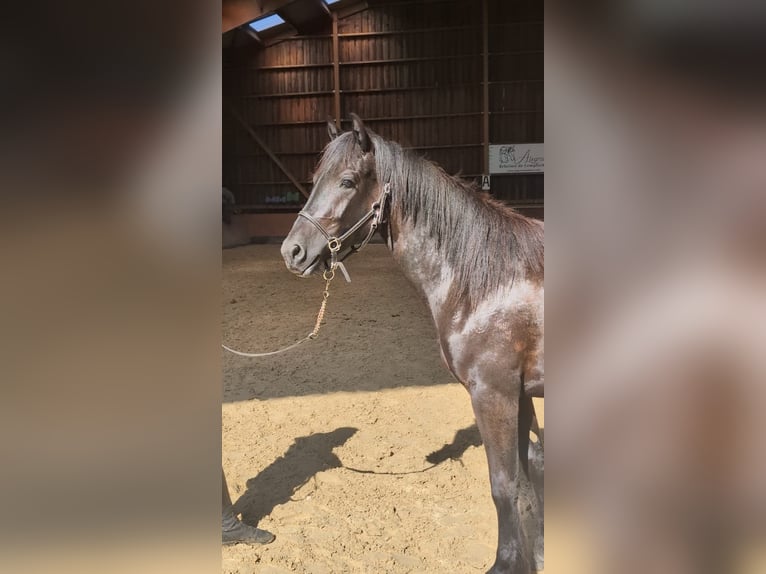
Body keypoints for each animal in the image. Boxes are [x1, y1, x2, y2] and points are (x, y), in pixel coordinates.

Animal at [280, 114, 544, 574]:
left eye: (347, 181)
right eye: (315, 179)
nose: (291, 252)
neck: (489, 283)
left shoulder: (494, 394)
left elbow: (503, 484)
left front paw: (506, 562)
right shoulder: (521, 394)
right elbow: (527, 478)